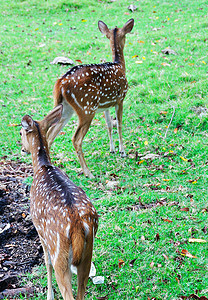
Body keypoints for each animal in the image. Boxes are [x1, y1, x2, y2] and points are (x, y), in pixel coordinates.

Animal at [19, 103, 98, 300]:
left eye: (20, 132)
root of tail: (78, 225)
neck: (42, 167)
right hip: (88, 253)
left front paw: (49, 294)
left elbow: (45, 261)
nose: (22, 148)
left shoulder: (39, 230)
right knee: (81, 291)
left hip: (59, 254)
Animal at [46, 18, 134, 178]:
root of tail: (61, 83)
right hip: (86, 108)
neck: (119, 65)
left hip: (65, 108)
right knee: (75, 139)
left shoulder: (105, 105)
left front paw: (112, 149)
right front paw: (122, 151)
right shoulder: (120, 99)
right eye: (124, 36)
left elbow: (109, 125)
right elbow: (119, 124)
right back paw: (88, 173)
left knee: (49, 135)